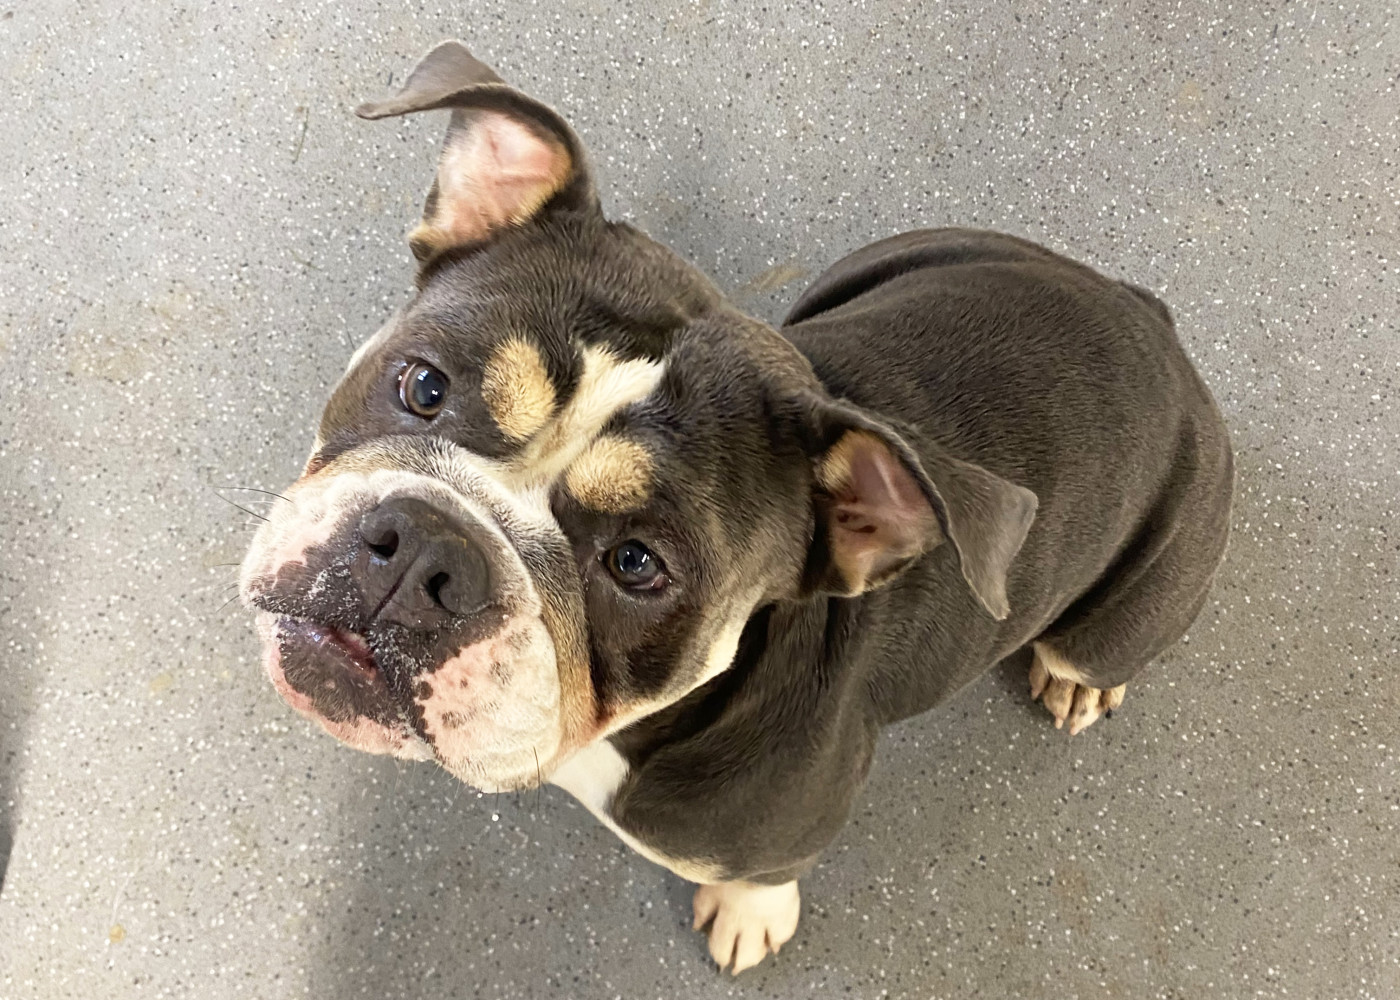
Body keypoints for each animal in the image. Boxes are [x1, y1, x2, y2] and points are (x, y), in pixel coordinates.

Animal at [239, 40, 1233, 974]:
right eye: (423, 386)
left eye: (637, 564)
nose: (425, 551)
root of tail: (1153, 326)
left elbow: (766, 874)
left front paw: (750, 914)